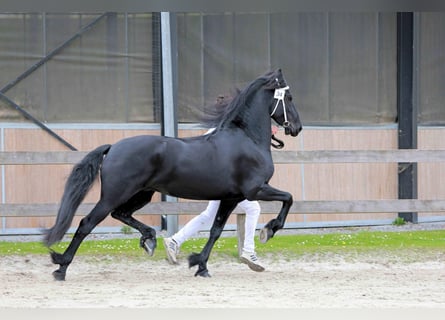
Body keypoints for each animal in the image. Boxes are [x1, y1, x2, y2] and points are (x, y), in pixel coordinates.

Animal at [42, 69, 302, 278]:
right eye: (289, 97)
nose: (297, 128)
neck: (246, 139)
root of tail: (113, 147)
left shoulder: (231, 198)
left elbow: (215, 231)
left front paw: (200, 265)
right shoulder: (255, 189)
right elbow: (289, 198)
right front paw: (269, 230)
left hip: (141, 194)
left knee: (121, 214)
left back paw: (149, 239)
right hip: (114, 195)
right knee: (87, 223)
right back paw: (61, 267)